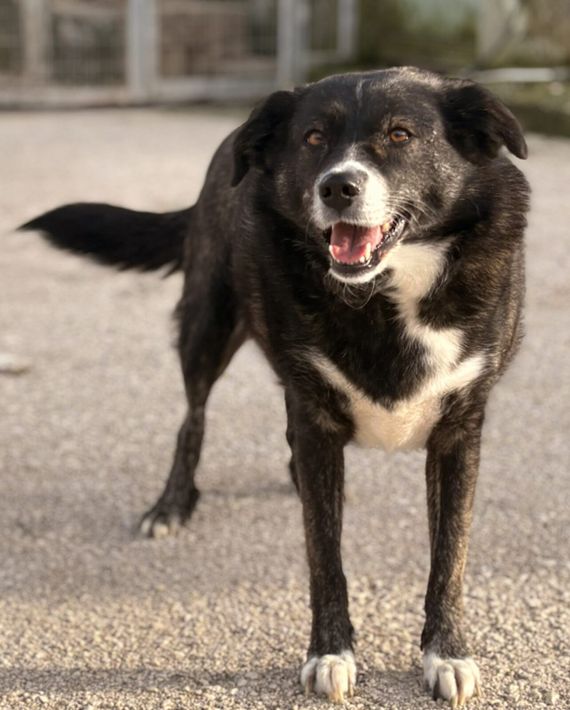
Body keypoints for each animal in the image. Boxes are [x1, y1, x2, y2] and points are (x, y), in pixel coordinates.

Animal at [22, 67, 530, 706]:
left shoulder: (460, 430)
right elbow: (324, 555)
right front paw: (330, 653)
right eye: (313, 138)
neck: (383, 292)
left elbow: (450, 556)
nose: (338, 187)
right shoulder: (314, 415)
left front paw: (448, 653)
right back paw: (171, 505)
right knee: (192, 419)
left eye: (400, 134)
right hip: (206, 325)